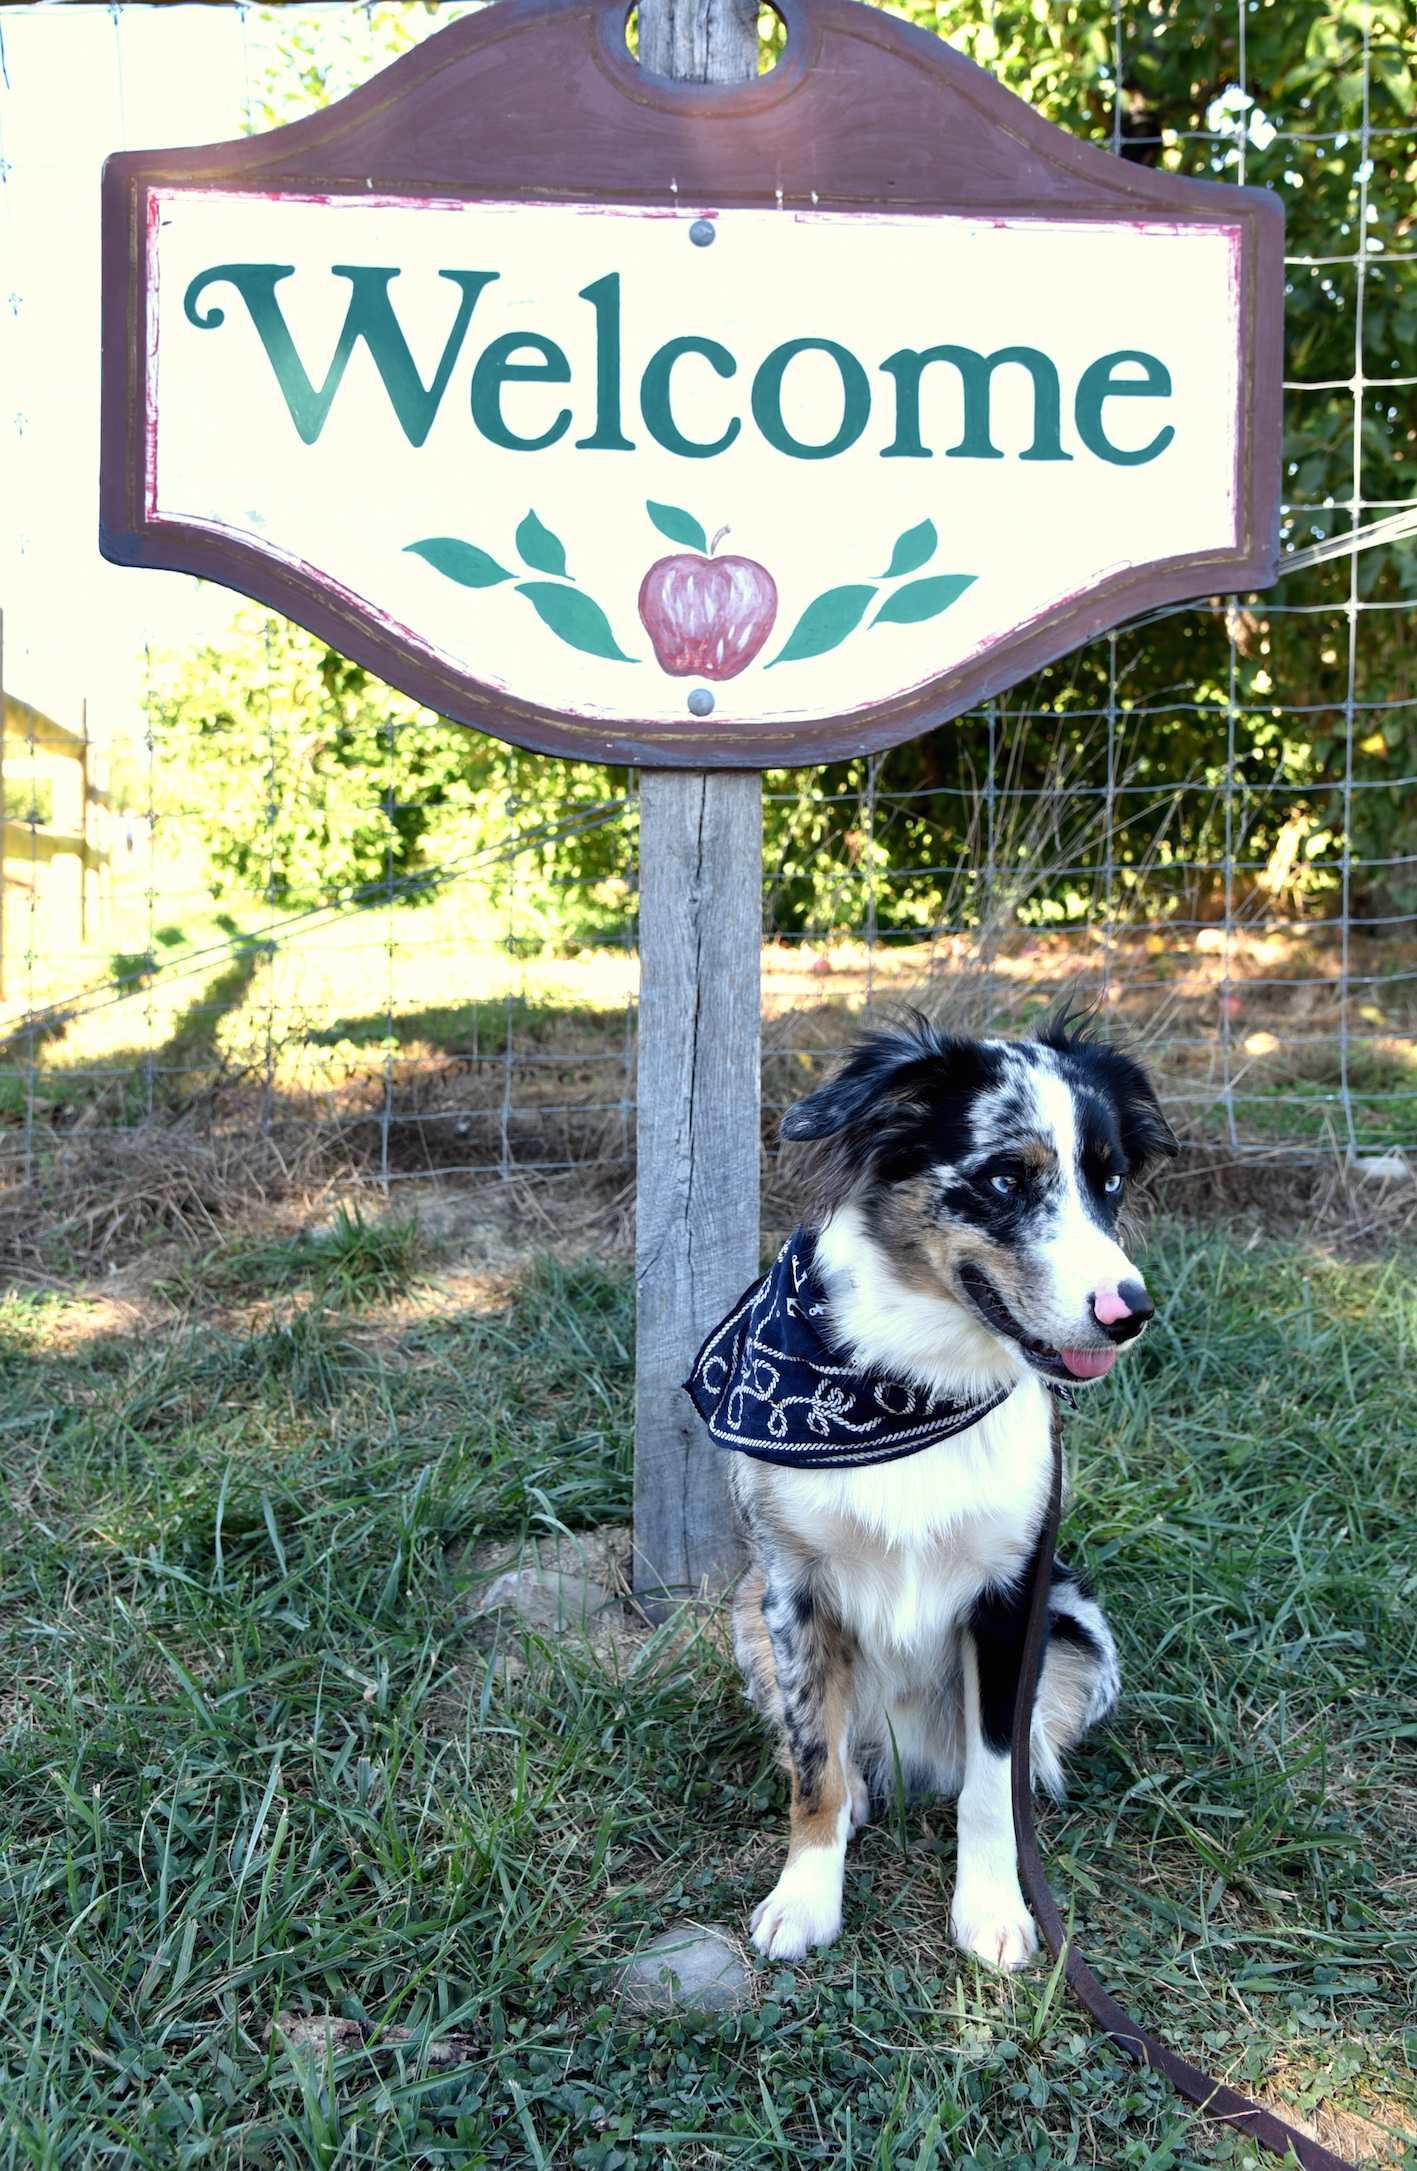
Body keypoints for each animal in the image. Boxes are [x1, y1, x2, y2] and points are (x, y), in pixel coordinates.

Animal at [724, 1011, 1180, 1971]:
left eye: (1110, 1178)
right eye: (1005, 1177)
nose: (1130, 1310)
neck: (914, 1384)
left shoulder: (1010, 1602)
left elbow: (988, 1783)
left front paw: (994, 1909)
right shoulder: (792, 1590)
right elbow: (813, 1760)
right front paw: (805, 1894)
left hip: (1079, 1628)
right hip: (745, 1609)